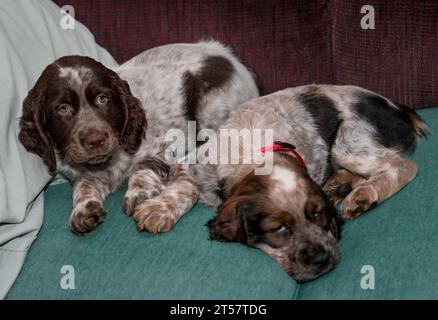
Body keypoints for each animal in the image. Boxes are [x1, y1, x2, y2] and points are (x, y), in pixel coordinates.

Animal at [18, 40, 260, 235]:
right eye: (63, 108)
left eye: (102, 98)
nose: (96, 140)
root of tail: (228, 55)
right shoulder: (82, 173)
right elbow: (83, 185)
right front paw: (83, 209)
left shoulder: (166, 145)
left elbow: (143, 166)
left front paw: (140, 193)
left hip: (210, 110)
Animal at [193, 84, 430, 282]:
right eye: (278, 228)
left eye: (318, 214)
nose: (321, 260)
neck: (256, 153)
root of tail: (402, 110)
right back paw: (340, 186)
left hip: (348, 142)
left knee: (403, 165)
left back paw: (362, 195)